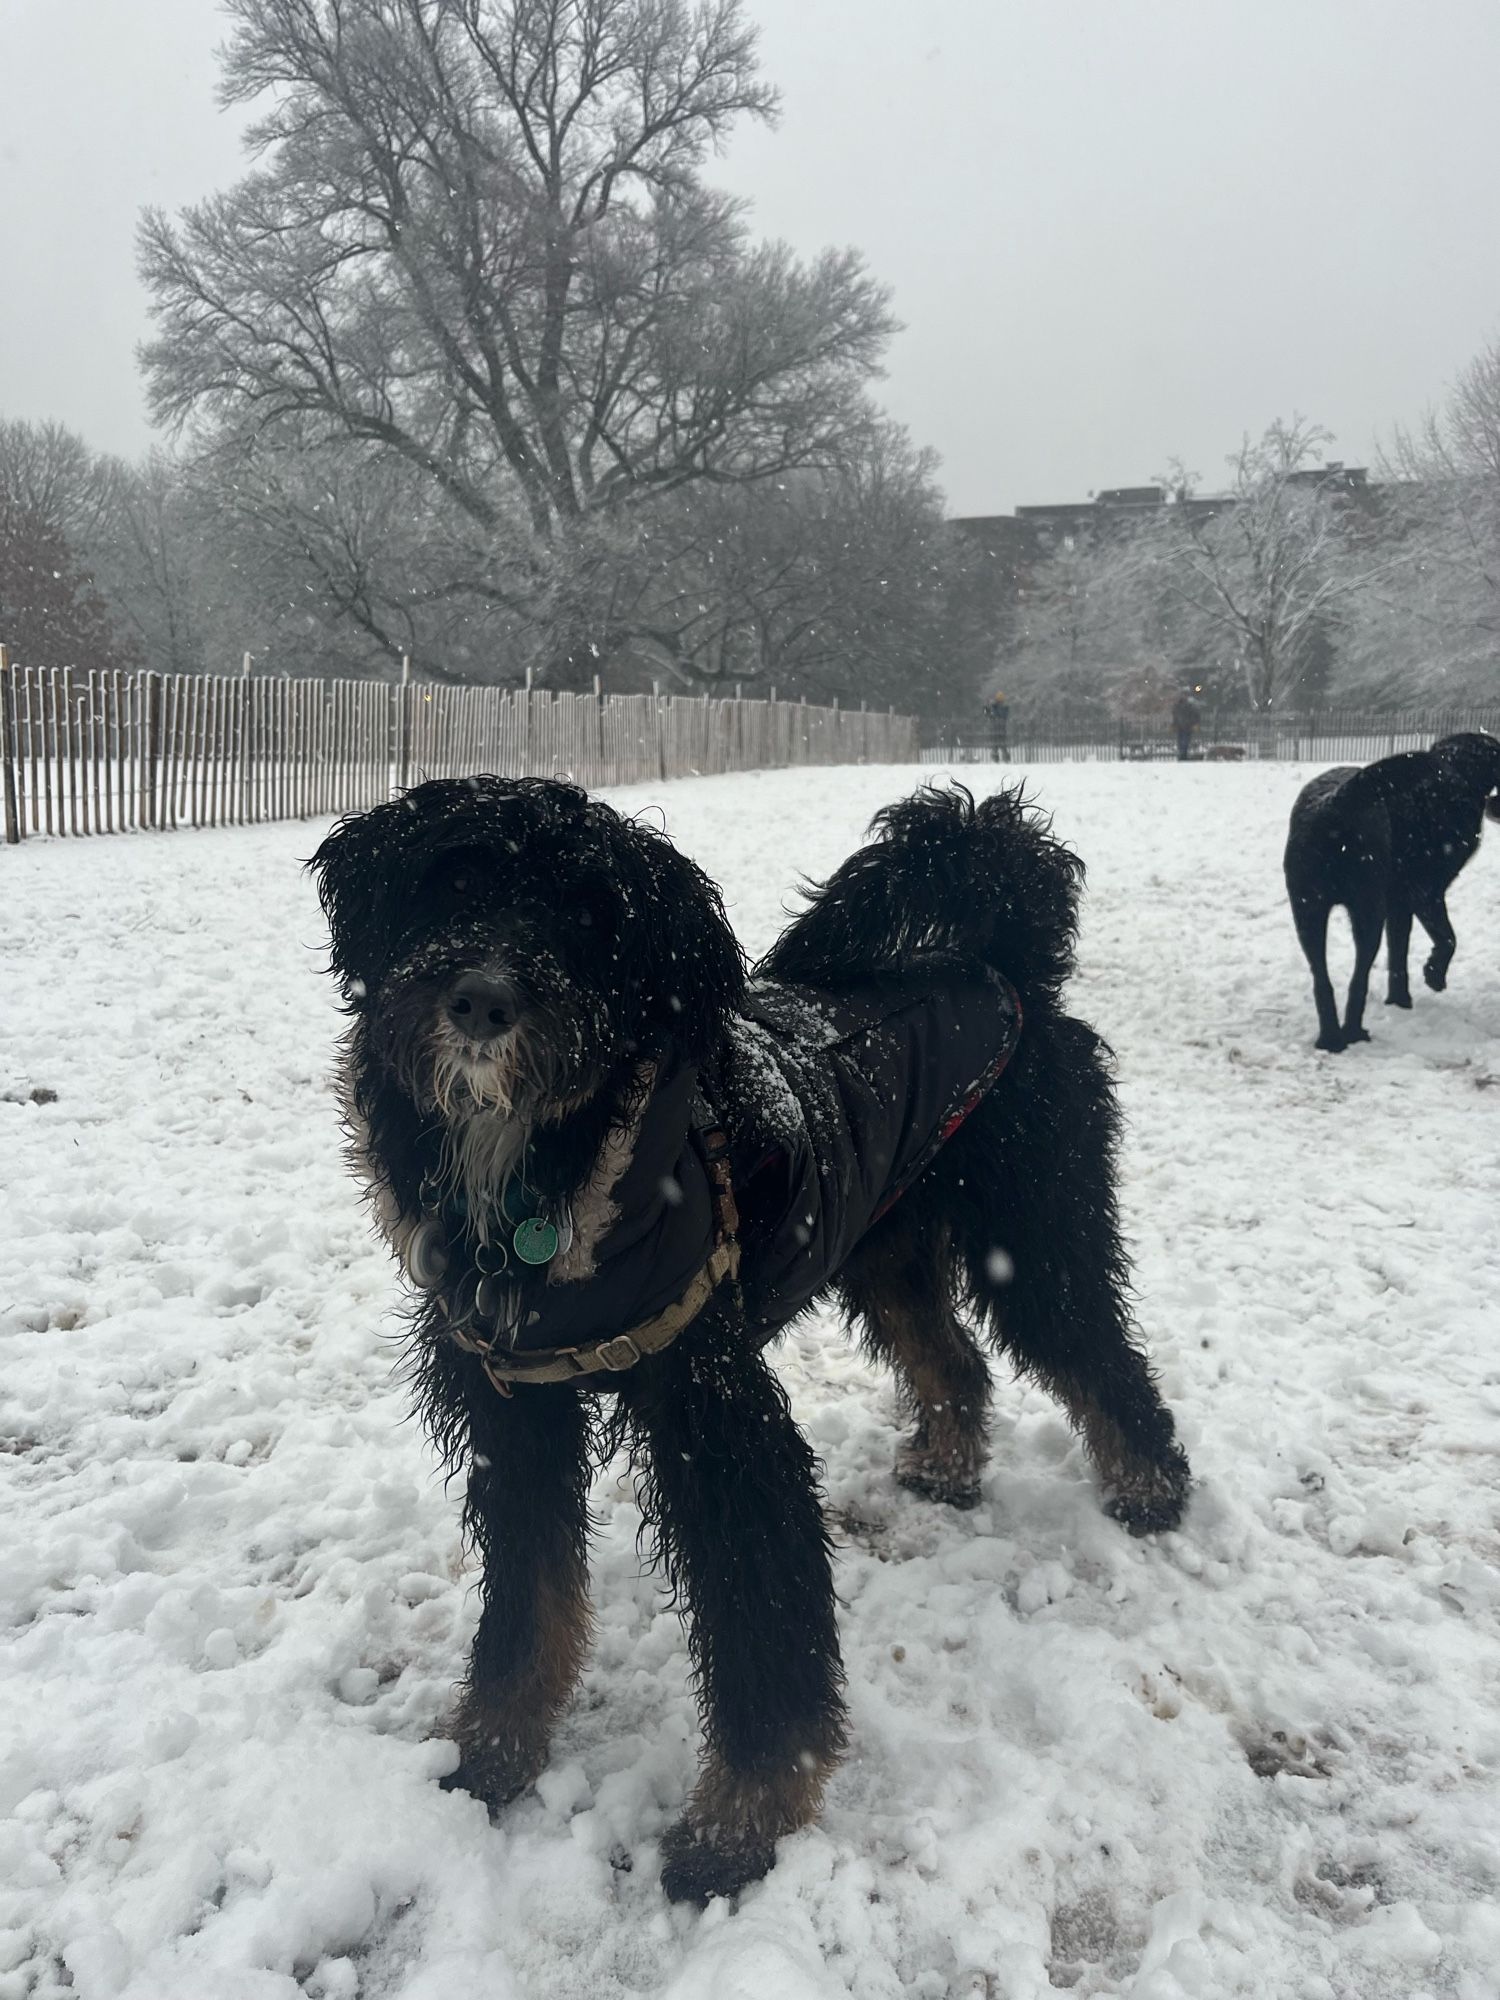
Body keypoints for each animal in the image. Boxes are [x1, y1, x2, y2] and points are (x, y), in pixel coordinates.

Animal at [312, 772, 1192, 1896]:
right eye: (454, 880)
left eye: (588, 914)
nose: (482, 998)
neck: (553, 1176)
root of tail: (1007, 964)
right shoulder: (517, 1408)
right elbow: (525, 1606)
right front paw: (488, 1758)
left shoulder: (716, 1417)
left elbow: (761, 1630)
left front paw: (738, 1829)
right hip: (887, 1248)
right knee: (955, 1360)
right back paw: (948, 1467)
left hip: (1036, 1240)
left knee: (1104, 1362)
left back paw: (1150, 1490)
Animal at [1280, 732, 1500, 1048]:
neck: (1457, 773)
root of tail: (1335, 803)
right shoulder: (1426, 892)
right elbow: (1448, 939)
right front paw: (1434, 975)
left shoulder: (1399, 904)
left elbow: (1398, 953)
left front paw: (1399, 1001)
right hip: (1367, 913)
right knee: (1358, 979)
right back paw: (1353, 1033)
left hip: (1308, 912)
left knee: (1322, 979)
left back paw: (1331, 1039)